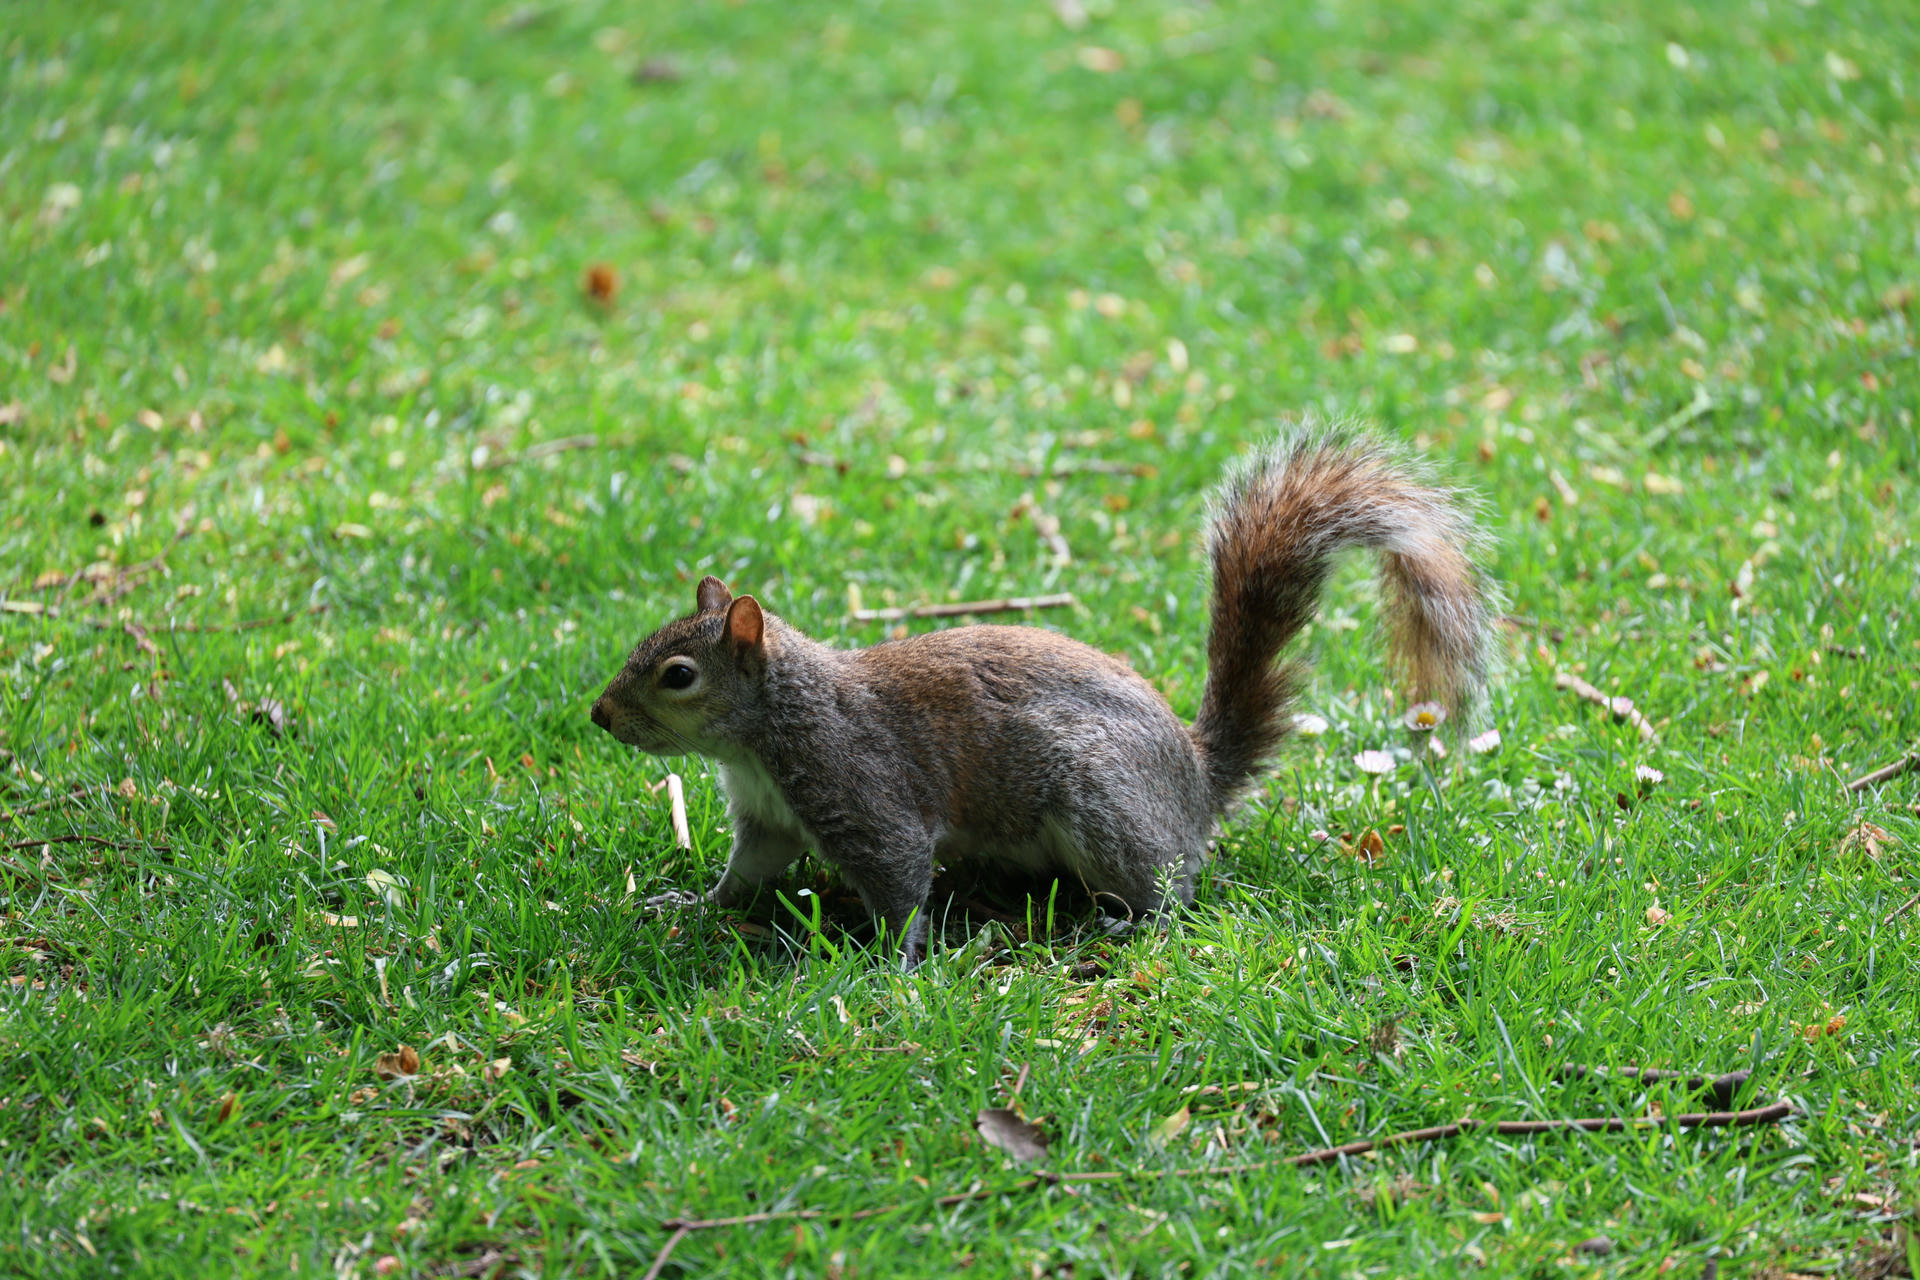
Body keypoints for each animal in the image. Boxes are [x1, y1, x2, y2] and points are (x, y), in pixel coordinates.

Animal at [590, 425, 1494, 967]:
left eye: (678, 675)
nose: (598, 716)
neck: (766, 732)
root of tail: (1196, 784)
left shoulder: (865, 792)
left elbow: (901, 883)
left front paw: (893, 965)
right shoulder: (770, 817)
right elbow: (745, 874)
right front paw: (692, 901)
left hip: (1101, 802)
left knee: (1176, 889)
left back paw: (1124, 921)